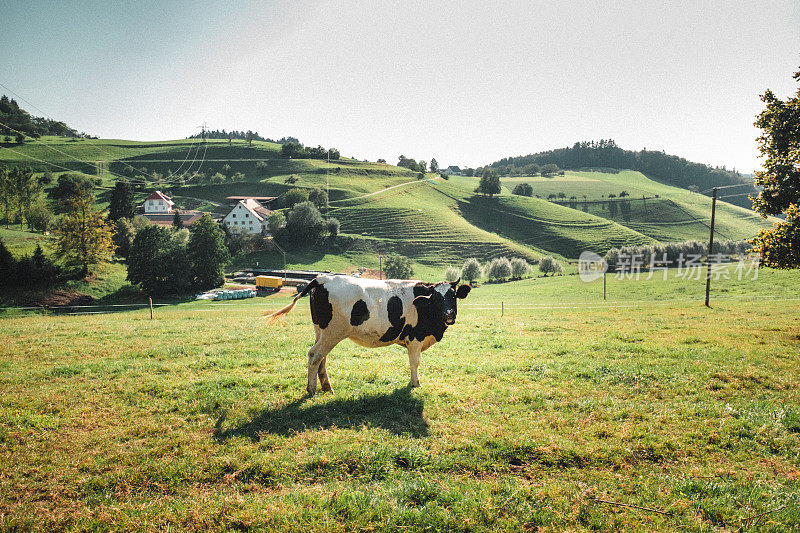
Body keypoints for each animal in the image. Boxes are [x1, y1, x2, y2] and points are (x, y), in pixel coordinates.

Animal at [266, 274, 472, 394]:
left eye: (453, 296)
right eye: (436, 299)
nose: (449, 315)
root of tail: (323, 278)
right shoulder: (415, 338)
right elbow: (415, 362)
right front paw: (416, 383)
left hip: (321, 331)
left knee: (321, 357)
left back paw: (326, 386)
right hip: (332, 332)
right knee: (315, 355)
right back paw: (311, 389)